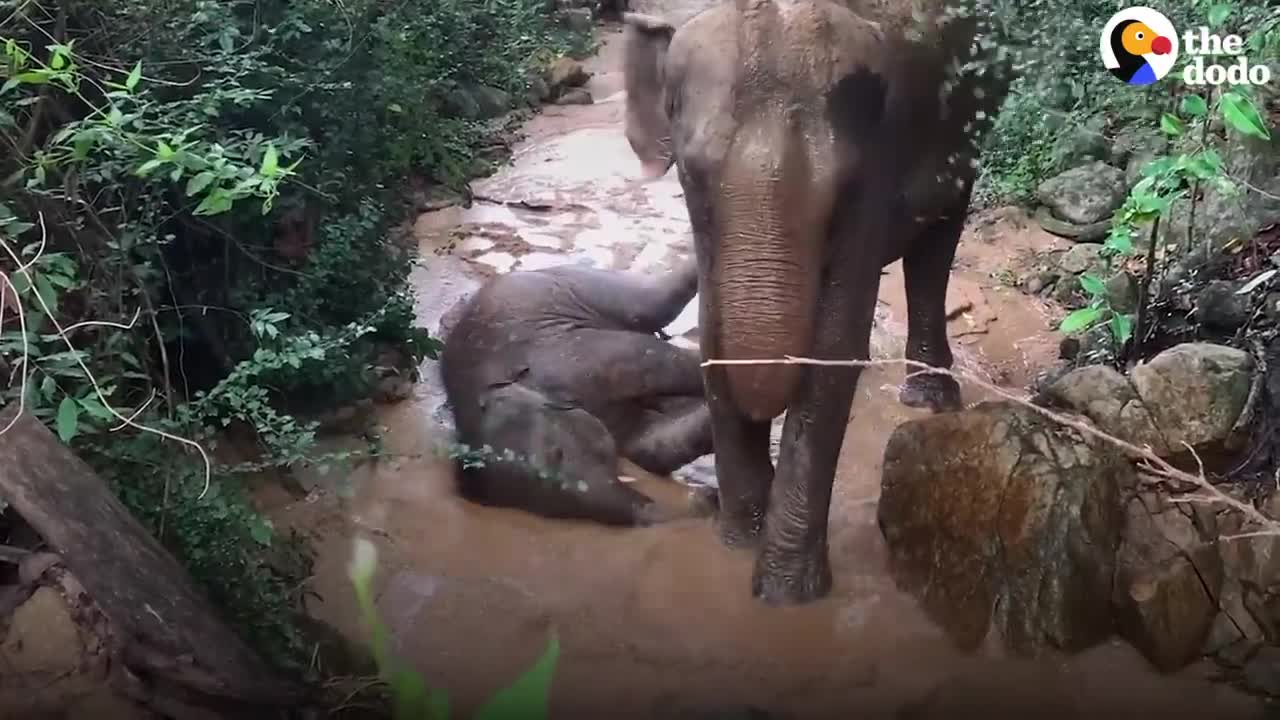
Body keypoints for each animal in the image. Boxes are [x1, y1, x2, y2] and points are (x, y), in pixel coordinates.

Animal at [442, 260, 716, 525]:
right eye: (552, 511)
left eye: (557, 453)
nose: (705, 501)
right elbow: (656, 445)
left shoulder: (566, 355)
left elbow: (652, 360)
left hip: (581, 284)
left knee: (649, 304)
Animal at [619, 0, 1008, 602]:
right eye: (691, 173)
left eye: (841, 190)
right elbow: (713, 329)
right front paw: (738, 543)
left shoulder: (879, 162)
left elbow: (833, 345)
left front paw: (784, 594)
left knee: (937, 239)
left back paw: (928, 400)